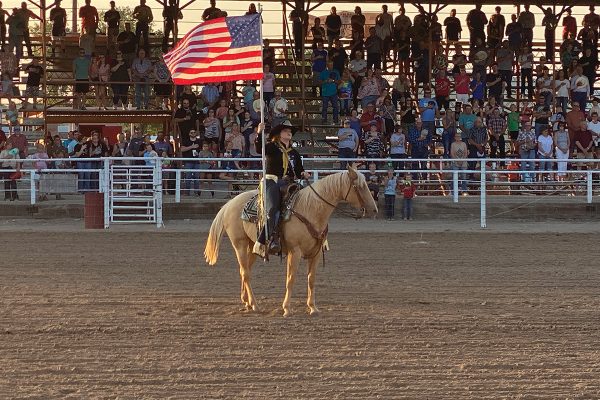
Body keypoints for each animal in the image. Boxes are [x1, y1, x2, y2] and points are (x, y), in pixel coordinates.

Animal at [204, 165, 378, 316]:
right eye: (359, 186)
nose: (374, 210)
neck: (310, 210)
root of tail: (229, 204)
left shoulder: (315, 253)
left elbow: (311, 279)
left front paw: (313, 307)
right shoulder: (295, 252)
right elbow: (291, 278)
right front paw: (286, 308)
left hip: (253, 245)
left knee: (244, 270)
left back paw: (246, 302)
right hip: (239, 244)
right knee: (246, 273)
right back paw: (255, 305)